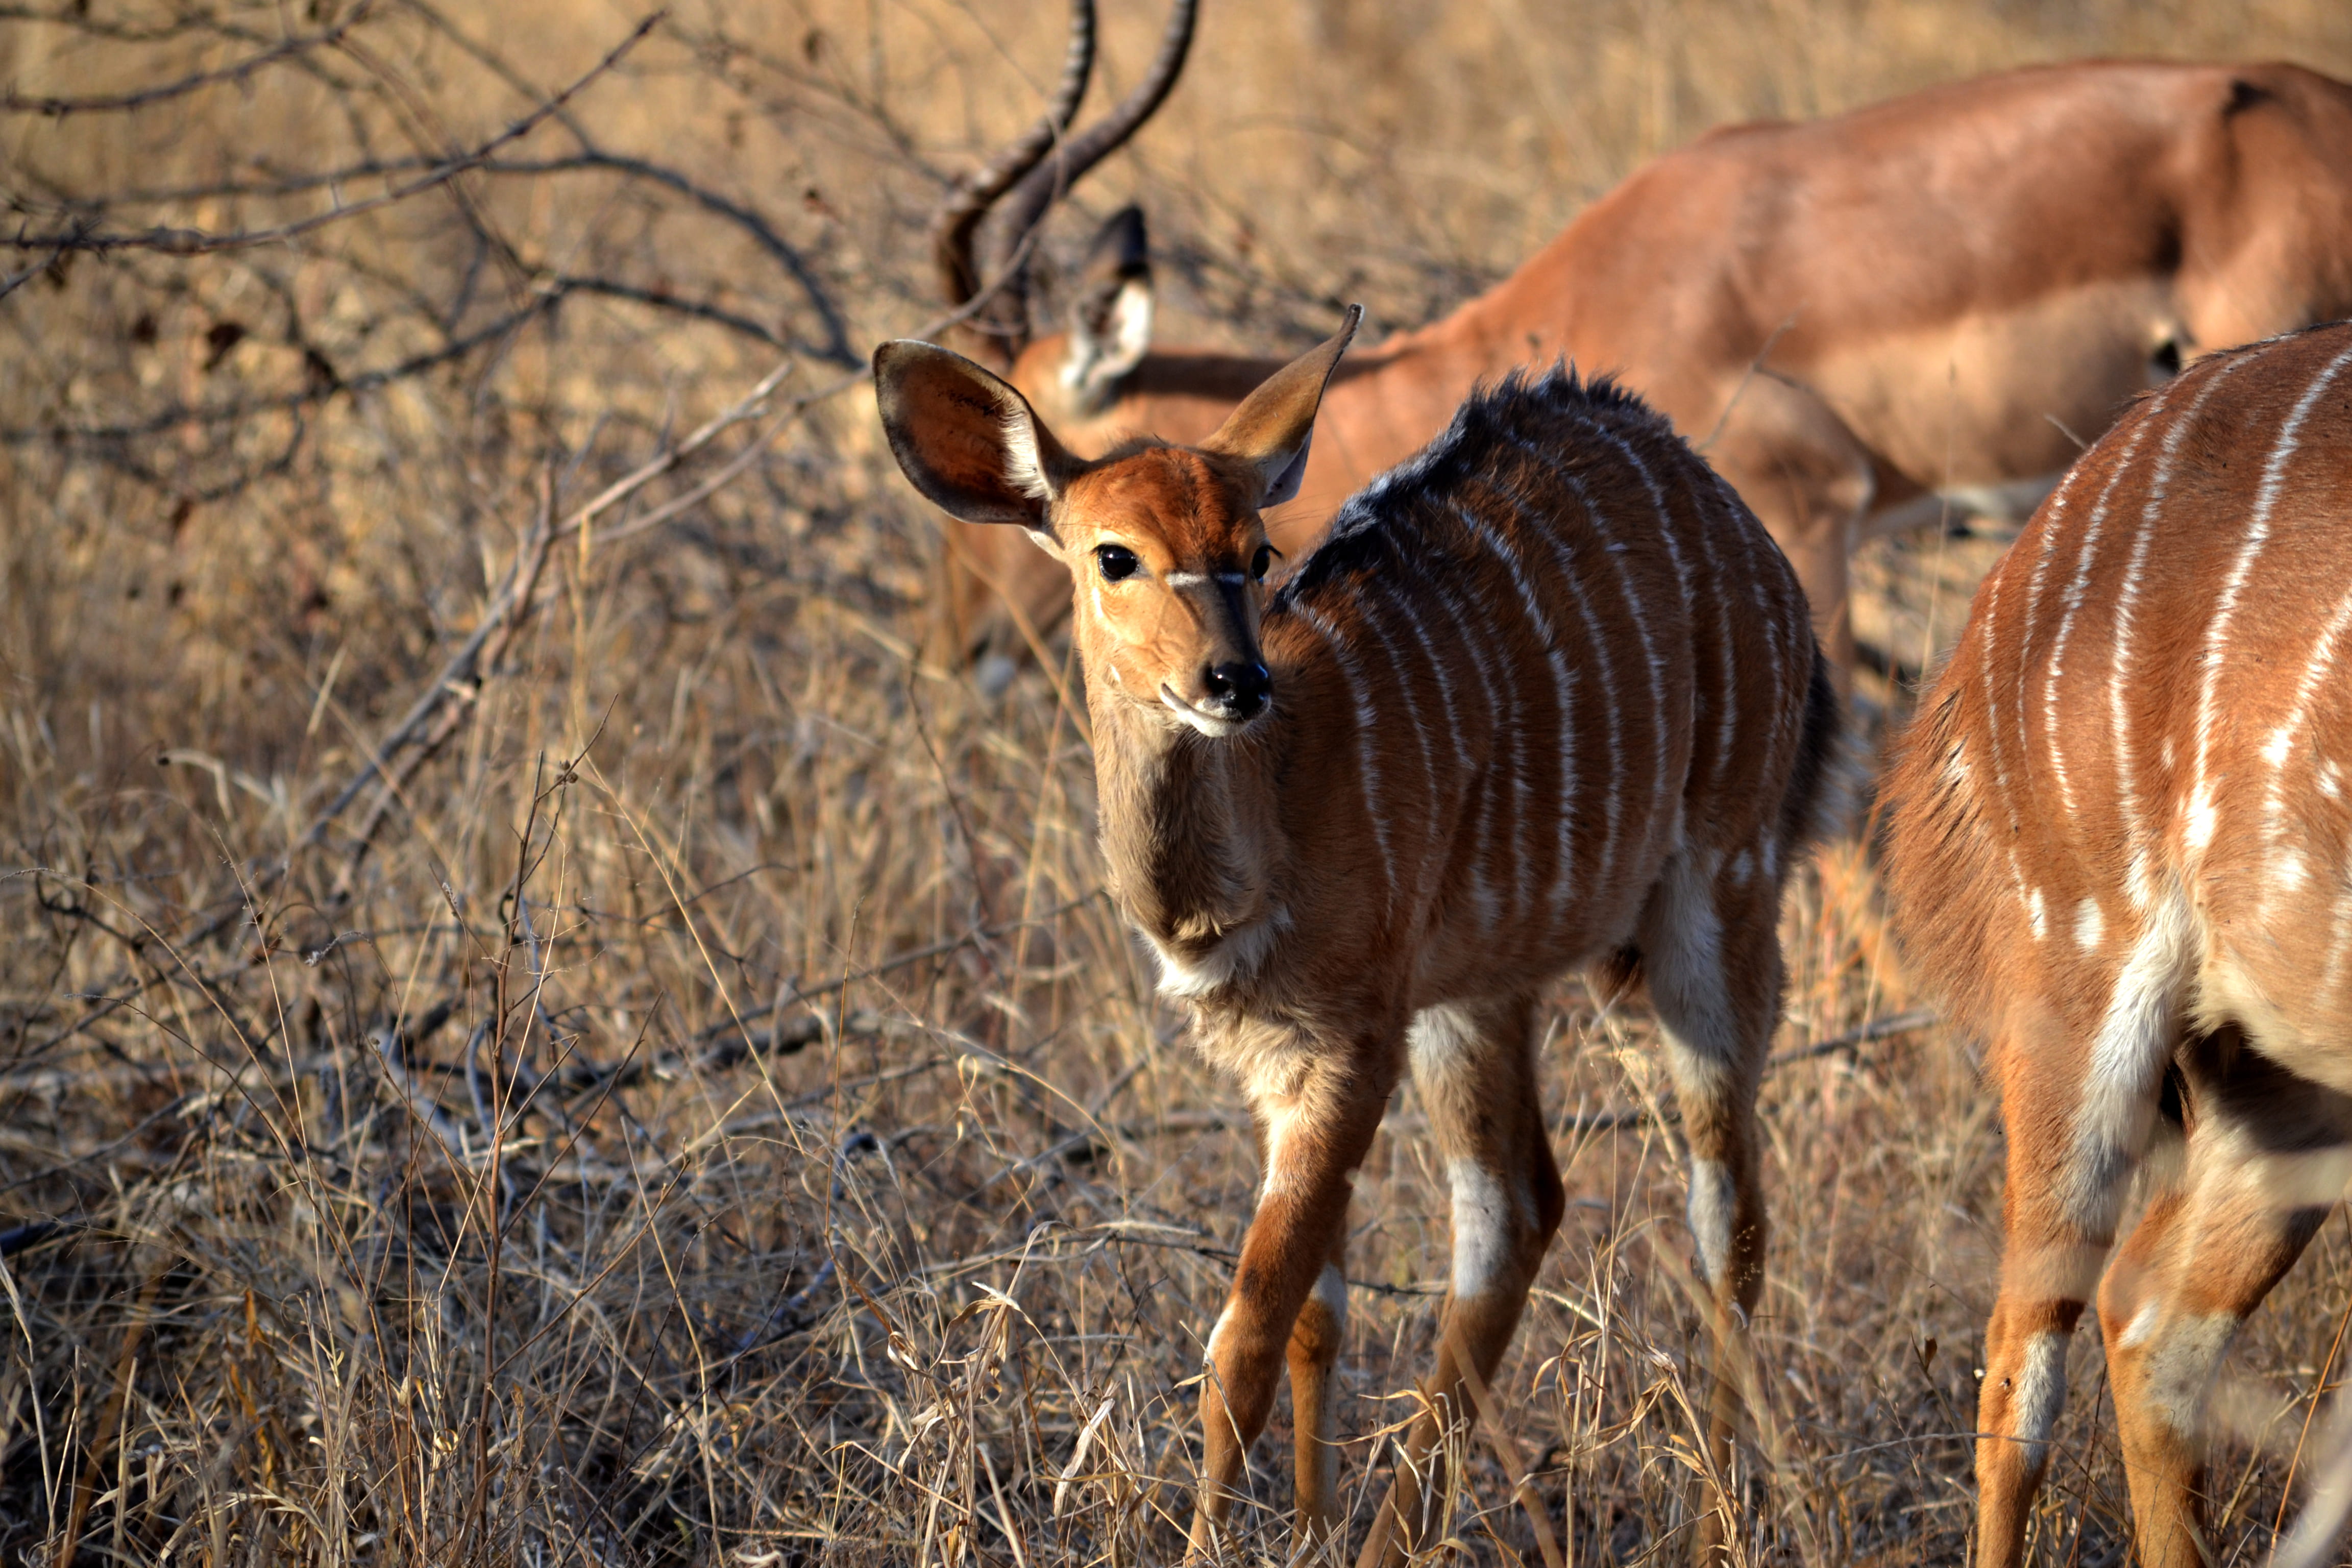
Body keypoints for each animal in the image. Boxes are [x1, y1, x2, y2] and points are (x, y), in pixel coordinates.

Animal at [873, 308, 1840, 1562]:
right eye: (1113, 555)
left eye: (1257, 553)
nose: (1232, 679)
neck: (1265, 821)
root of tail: (1741, 530)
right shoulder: (1279, 1064)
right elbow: (1313, 1315)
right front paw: (1307, 1528)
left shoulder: (1347, 1045)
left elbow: (1241, 1337)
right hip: (1478, 989)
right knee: (1516, 1210)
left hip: (1718, 898)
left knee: (1726, 1216)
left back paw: (1720, 1517)